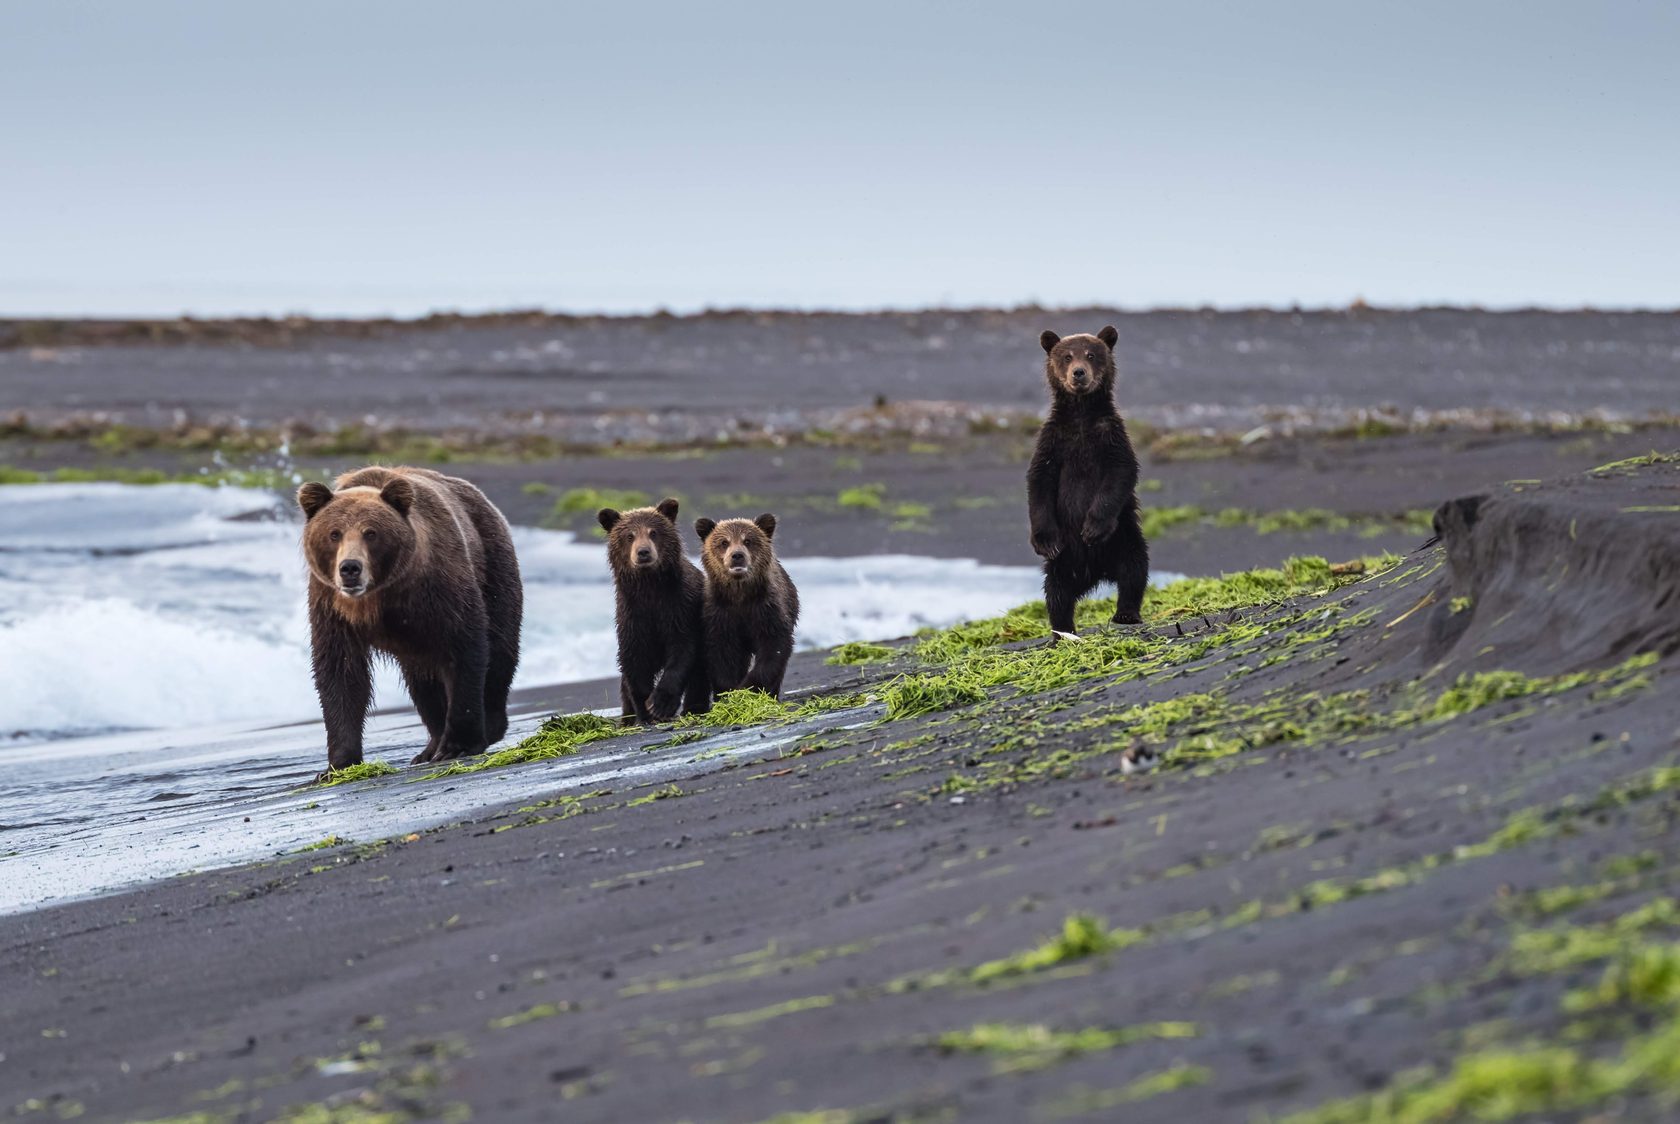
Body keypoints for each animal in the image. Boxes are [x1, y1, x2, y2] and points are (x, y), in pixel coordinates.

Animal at [295, 463, 517, 772]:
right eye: (334, 533)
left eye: (371, 533)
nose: (350, 568)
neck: (379, 599)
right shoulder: (331, 607)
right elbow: (340, 672)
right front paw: (338, 764)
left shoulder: (440, 589)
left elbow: (464, 648)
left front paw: (458, 745)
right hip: (415, 643)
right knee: (422, 682)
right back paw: (430, 745)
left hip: (493, 566)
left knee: (500, 649)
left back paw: (489, 725)